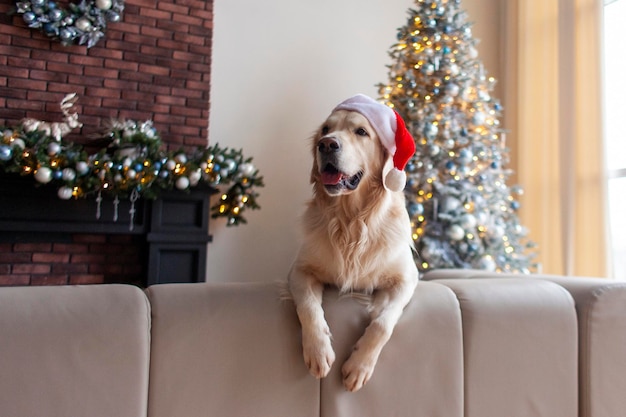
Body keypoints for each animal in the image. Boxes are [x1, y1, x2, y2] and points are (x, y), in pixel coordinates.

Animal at [286, 93, 414, 390]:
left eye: (361, 132)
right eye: (325, 129)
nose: (326, 144)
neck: (352, 222)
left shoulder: (407, 278)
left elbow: (382, 323)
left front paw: (358, 366)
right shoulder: (299, 270)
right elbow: (308, 306)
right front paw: (318, 351)